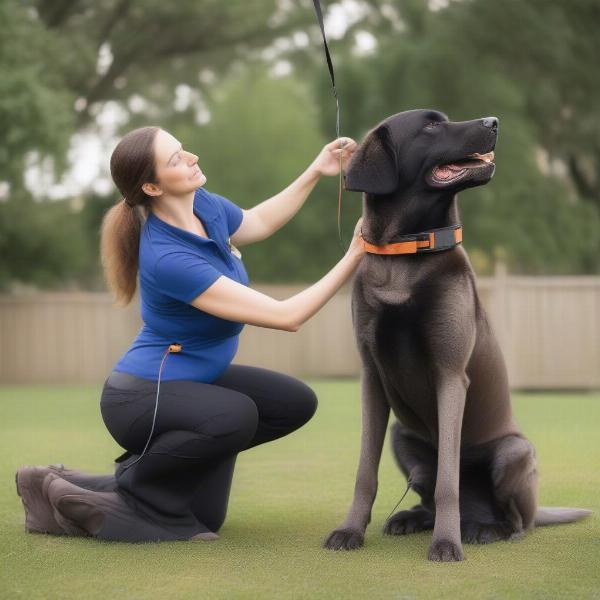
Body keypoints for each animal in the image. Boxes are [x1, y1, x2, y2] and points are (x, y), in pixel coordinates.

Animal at [324, 109, 592, 564]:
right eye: (431, 125)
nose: (494, 121)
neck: (407, 253)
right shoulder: (371, 379)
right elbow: (365, 472)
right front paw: (350, 530)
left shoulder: (450, 377)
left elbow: (449, 478)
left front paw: (447, 544)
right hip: (403, 438)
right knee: (428, 493)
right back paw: (414, 518)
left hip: (513, 452)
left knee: (517, 521)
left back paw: (484, 529)